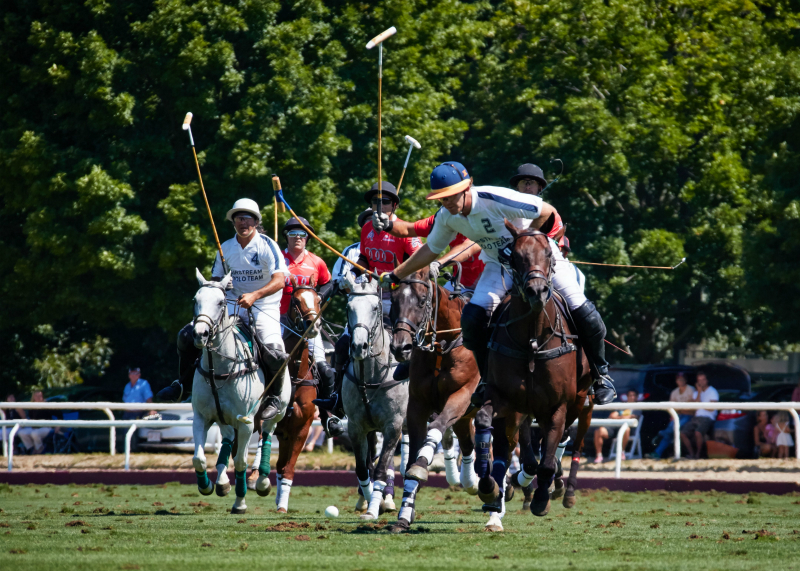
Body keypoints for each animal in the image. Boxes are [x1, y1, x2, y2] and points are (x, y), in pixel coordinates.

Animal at [191, 270, 290, 516]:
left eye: (220, 302)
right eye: (195, 300)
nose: (200, 334)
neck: (218, 369)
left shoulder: (245, 421)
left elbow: (241, 462)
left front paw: (240, 502)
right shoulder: (201, 417)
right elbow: (198, 458)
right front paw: (205, 485)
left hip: (276, 412)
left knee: (267, 433)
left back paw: (262, 481)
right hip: (225, 418)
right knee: (227, 437)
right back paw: (222, 482)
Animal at [388, 268, 482, 532]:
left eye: (422, 301)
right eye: (394, 300)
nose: (401, 347)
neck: (442, 346)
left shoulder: (462, 395)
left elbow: (437, 427)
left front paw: (422, 465)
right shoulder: (417, 405)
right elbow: (412, 456)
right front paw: (404, 514)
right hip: (466, 417)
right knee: (469, 443)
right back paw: (472, 482)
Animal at [476, 223, 592, 528]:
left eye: (549, 254)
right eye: (514, 257)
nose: (537, 291)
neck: (533, 339)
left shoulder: (558, 405)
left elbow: (549, 457)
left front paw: (541, 497)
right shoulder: (504, 399)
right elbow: (486, 423)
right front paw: (489, 484)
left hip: (580, 401)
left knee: (568, 442)